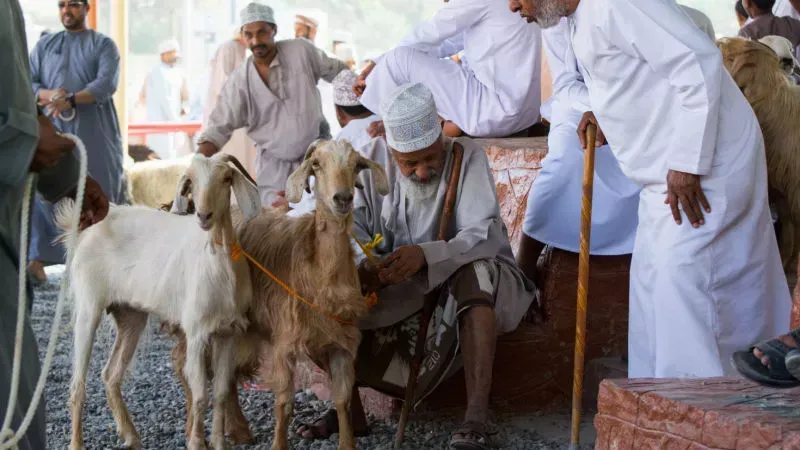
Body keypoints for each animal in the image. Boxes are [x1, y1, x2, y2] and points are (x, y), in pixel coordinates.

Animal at [57, 153, 262, 448]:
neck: (219, 265)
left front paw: (218, 443)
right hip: (88, 308)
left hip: (130, 315)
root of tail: (88, 229)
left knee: (110, 374)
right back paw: (78, 442)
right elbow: (200, 393)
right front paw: (196, 443)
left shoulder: (228, 333)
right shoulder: (196, 332)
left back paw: (131, 436)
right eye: (191, 182)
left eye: (226, 178)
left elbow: (221, 393)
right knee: (77, 386)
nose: (203, 216)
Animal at [171, 139, 390, 448]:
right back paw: (195, 430)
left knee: (227, 374)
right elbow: (284, 404)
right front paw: (278, 444)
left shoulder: (341, 344)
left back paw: (238, 430)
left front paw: (347, 442)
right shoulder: (286, 341)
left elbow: (343, 401)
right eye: (316, 164)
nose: (343, 198)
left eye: (357, 165)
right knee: (185, 367)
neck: (319, 272)